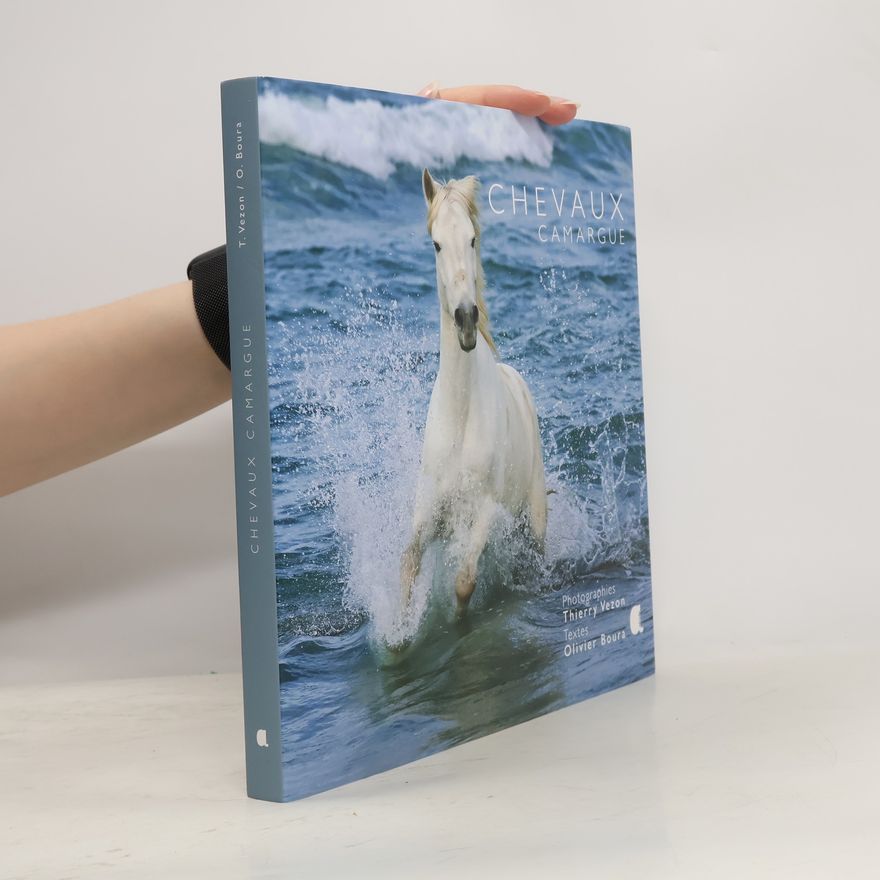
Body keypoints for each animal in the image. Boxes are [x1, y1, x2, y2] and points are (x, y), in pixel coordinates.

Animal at [400, 169, 547, 616]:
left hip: (534, 515)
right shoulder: (426, 513)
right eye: (436, 244)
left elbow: (464, 583)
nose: (466, 319)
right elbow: (408, 567)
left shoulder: (482, 513)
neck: (461, 415)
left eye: (472, 239)